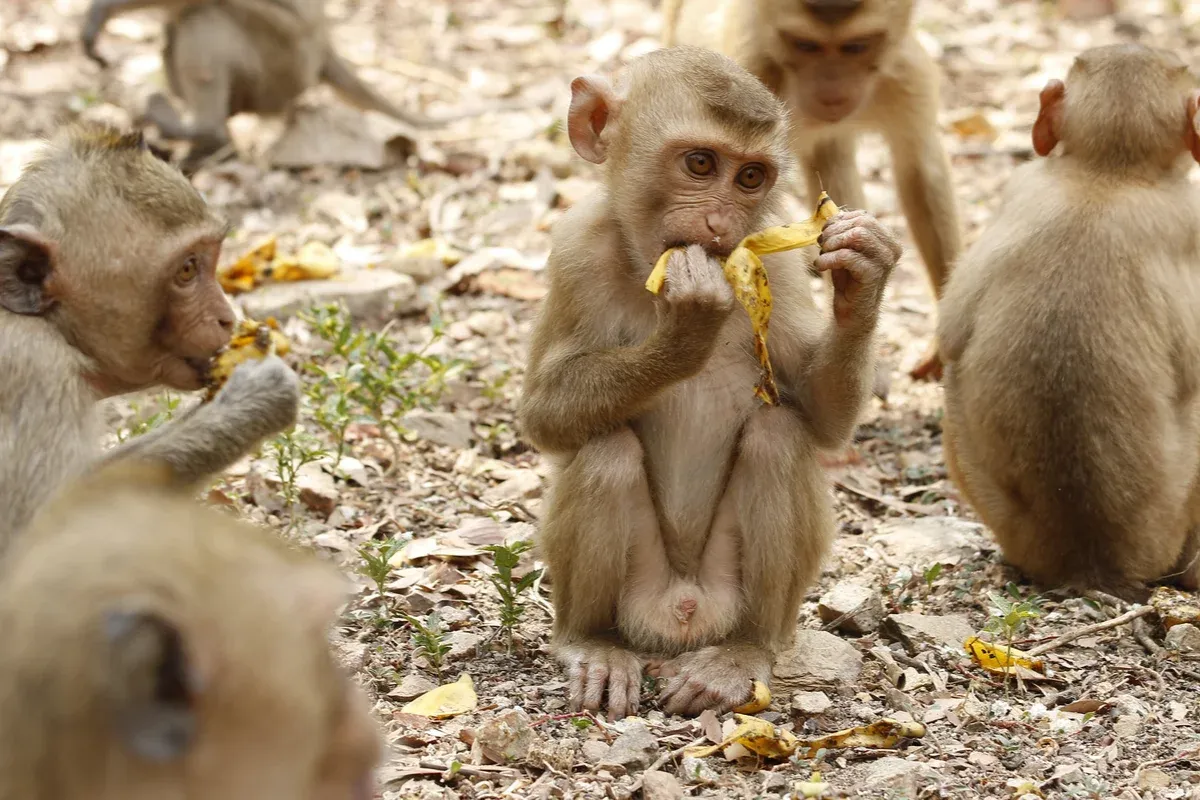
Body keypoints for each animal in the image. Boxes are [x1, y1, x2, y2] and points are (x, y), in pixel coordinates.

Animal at [518, 45, 902, 719]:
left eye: (750, 177)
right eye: (700, 164)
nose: (722, 222)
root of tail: (683, 617)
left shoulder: (774, 263)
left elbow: (821, 418)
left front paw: (863, 272)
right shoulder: (575, 251)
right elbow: (543, 417)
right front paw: (688, 330)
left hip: (729, 593)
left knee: (778, 439)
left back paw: (743, 654)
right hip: (639, 594)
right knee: (606, 451)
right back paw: (590, 642)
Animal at [667, 0, 964, 381]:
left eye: (856, 46)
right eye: (805, 45)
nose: (832, 93)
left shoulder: (904, 77)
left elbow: (920, 168)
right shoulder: (750, 77)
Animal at [940, 43, 1200, 604]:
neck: (1106, 175)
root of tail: (1090, 563)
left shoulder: (1021, 183)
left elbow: (950, 333)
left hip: (1007, 520)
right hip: (1169, 521)